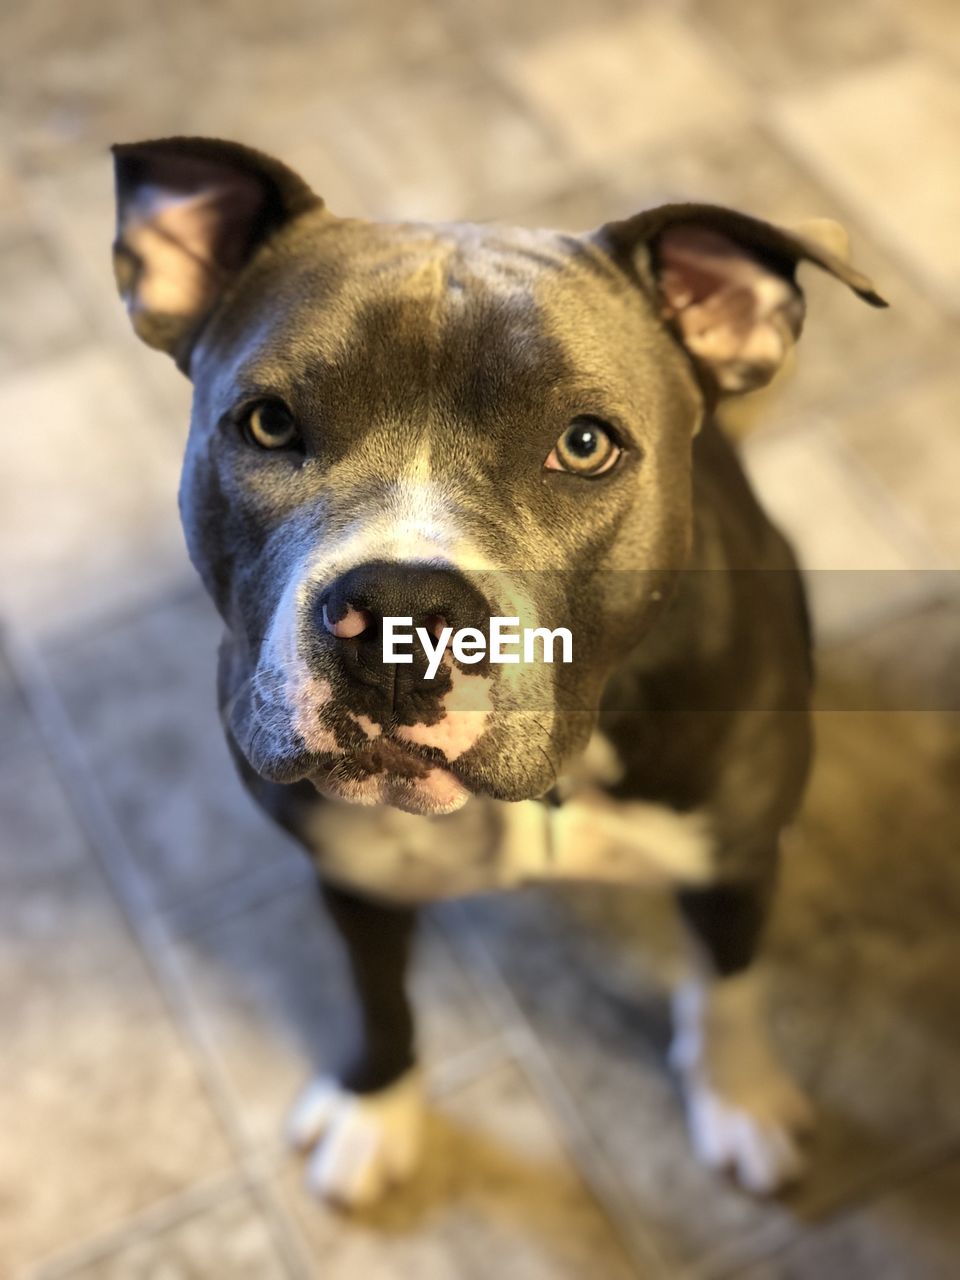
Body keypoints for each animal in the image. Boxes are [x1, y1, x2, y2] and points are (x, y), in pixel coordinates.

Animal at [110, 135, 885, 1203]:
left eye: (586, 445)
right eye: (267, 424)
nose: (398, 618)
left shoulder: (734, 862)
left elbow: (728, 983)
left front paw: (741, 1098)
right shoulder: (352, 873)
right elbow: (379, 997)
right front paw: (376, 1106)